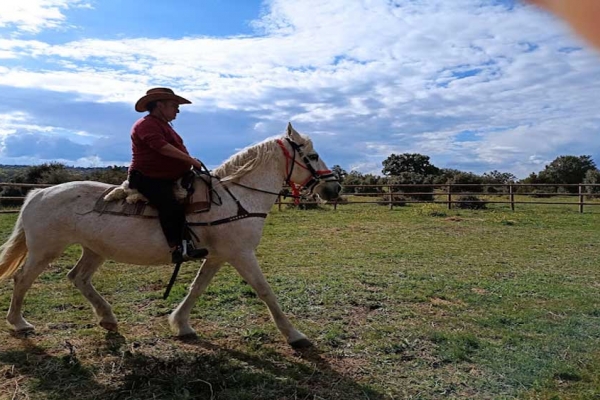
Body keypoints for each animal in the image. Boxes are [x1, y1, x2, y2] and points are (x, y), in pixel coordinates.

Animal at [0, 123, 340, 348]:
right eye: (312, 156)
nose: (333, 187)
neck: (238, 198)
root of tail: (37, 194)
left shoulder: (218, 256)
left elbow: (196, 288)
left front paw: (181, 324)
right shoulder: (241, 255)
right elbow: (266, 292)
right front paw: (295, 336)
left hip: (93, 250)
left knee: (78, 278)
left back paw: (107, 318)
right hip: (46, 250)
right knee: (22, 279)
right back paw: (19, 322)